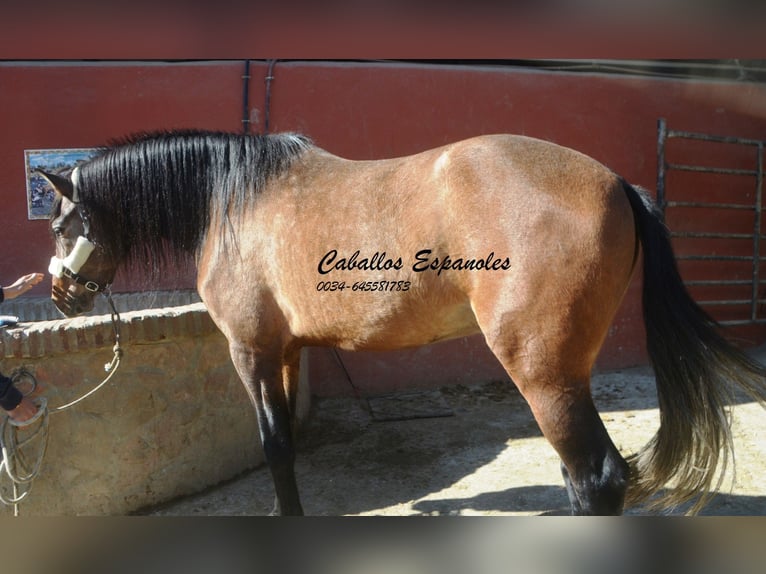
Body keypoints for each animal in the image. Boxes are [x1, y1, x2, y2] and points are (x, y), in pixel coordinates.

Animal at [43, 130, 766, 516]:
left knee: (596, 479)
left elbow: (272, 443)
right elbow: (285, 443)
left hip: (545, 374)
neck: (235, 200)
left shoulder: (249, 350)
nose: (59, 295)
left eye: (62, 224)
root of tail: (615, 182)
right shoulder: (285, 351)